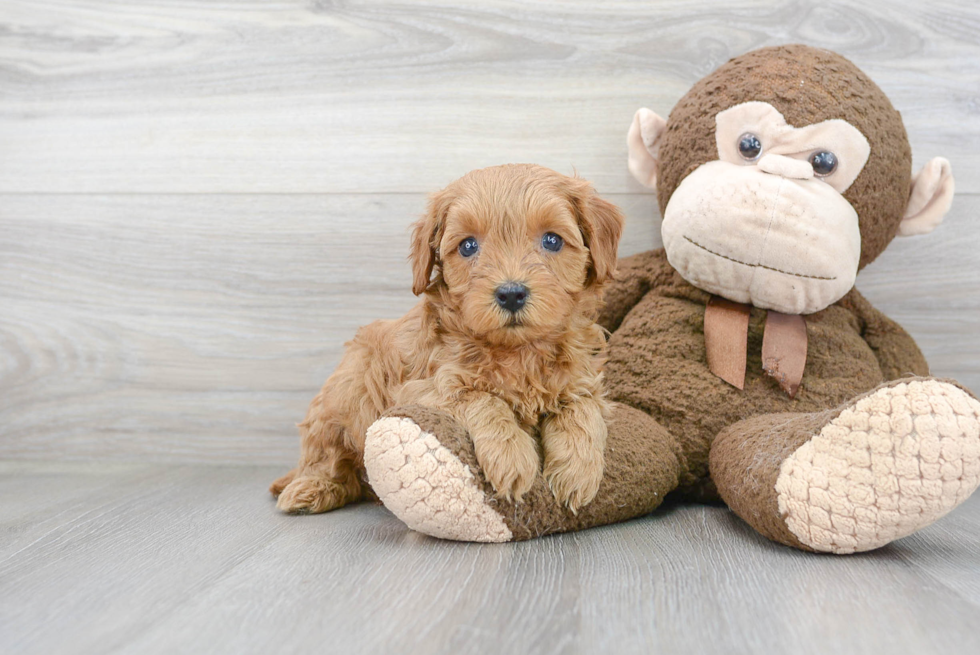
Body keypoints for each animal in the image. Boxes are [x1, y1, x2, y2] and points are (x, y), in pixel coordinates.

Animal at [270, 163, 620, 512]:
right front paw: (512, 457)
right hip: (346, 392)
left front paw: (577, 471)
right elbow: (484, 399)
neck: (518, 351)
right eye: (468, 246)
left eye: (552, 240)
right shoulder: (422, 391)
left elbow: (582, 409)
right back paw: (310, 488)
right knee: (329, 459)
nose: (511, 294)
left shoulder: (582, 380)